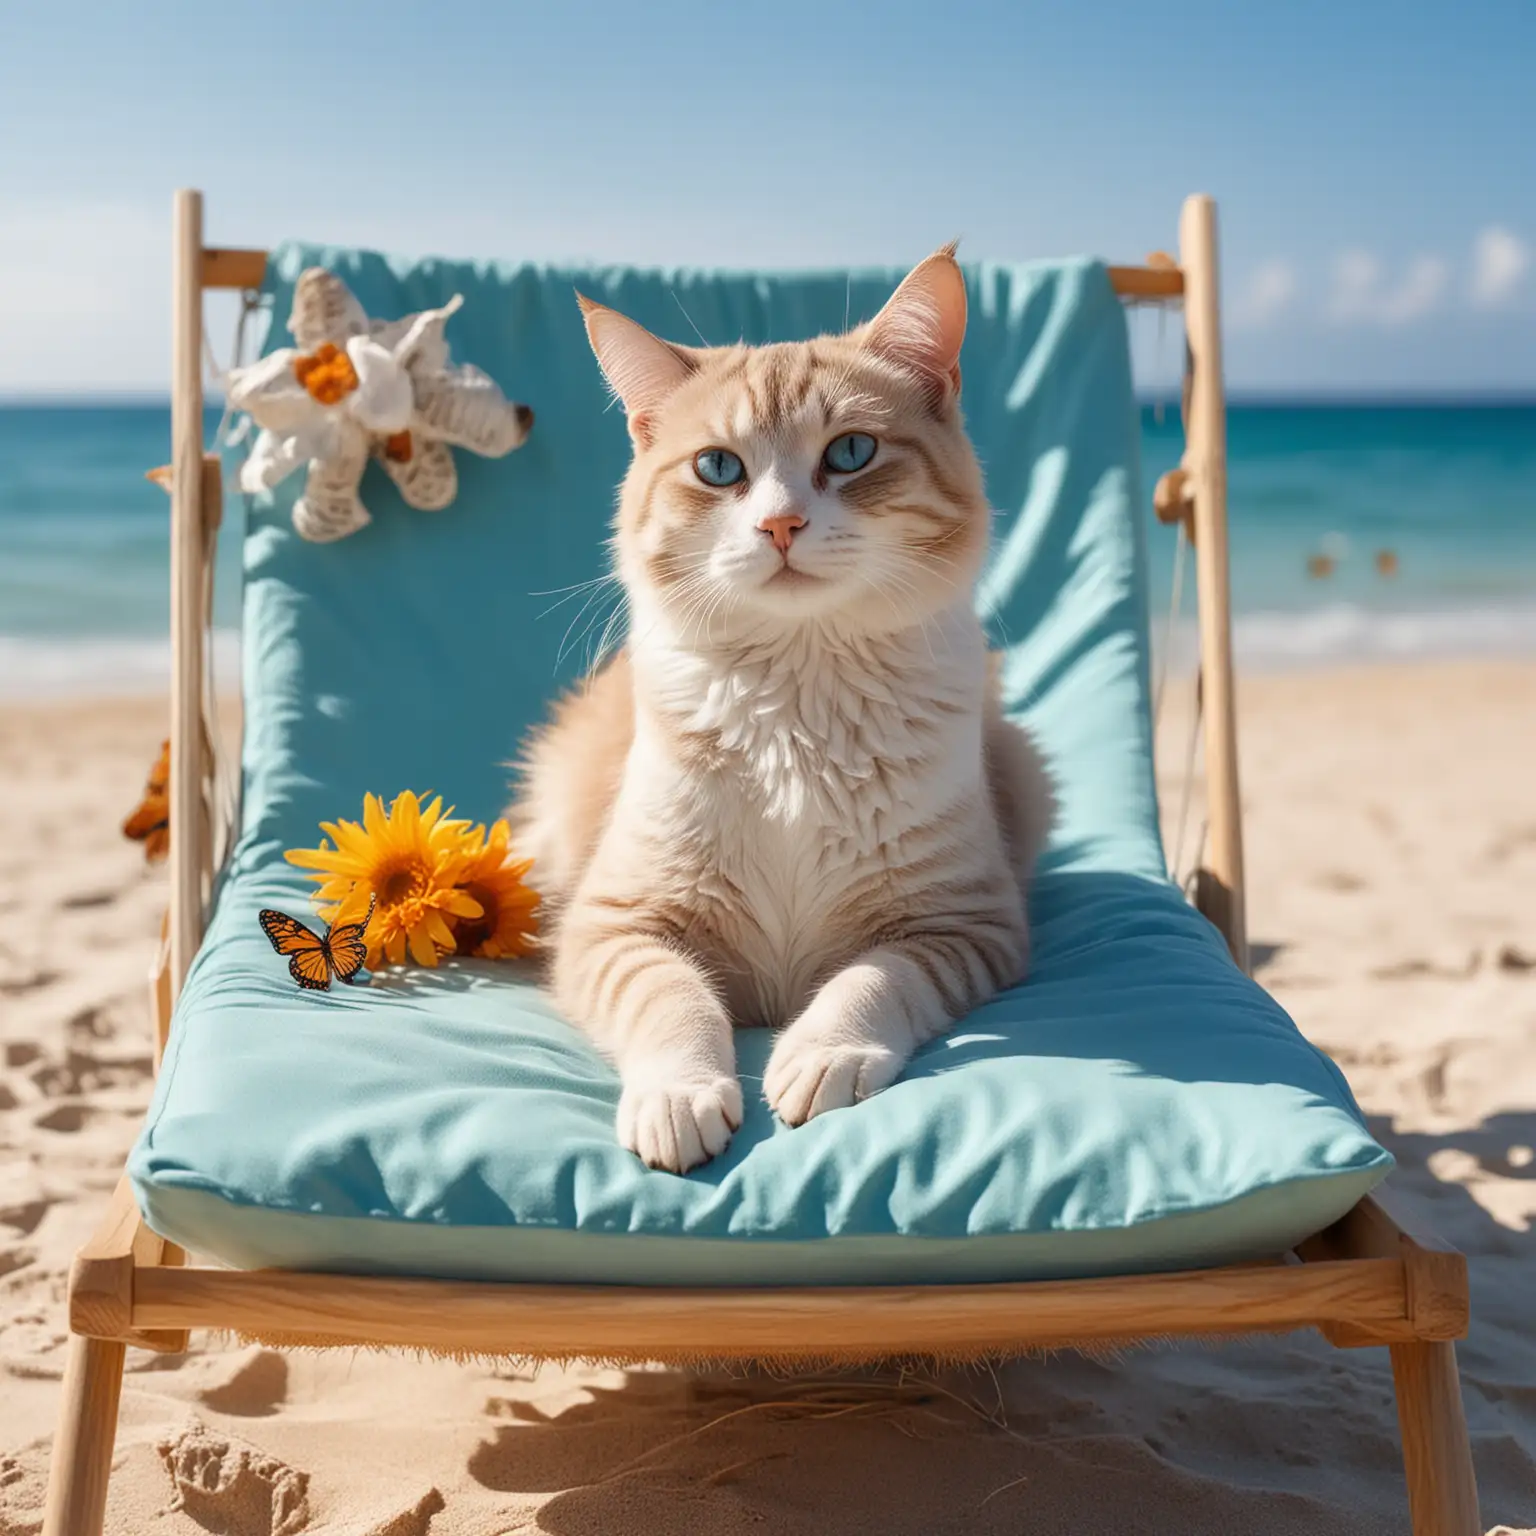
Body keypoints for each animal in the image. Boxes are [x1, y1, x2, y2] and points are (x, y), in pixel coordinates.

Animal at [509, 245, 1050, 1167]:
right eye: (718, 467)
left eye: (853, 451)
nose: (782, 525)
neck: (799, 711)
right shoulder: (614, 927)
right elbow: (671, 998)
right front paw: (680, 1094)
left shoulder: (963, 926)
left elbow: (873, 980)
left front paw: (822, 1054)